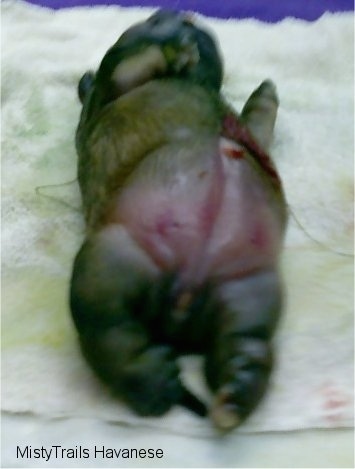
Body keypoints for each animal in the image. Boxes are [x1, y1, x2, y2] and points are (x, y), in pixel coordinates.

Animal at [70, 9, 290, 430]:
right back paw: (153, 380)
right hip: (111, 258)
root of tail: (185, 299)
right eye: (150, 19)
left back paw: (233, 393)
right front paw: (177, 51)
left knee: (245, 341)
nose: (184, 15)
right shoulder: (115, 86)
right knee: (108, 326)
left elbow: (256, 120)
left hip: (248, 287)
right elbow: (128, 64)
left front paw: (263, 94)